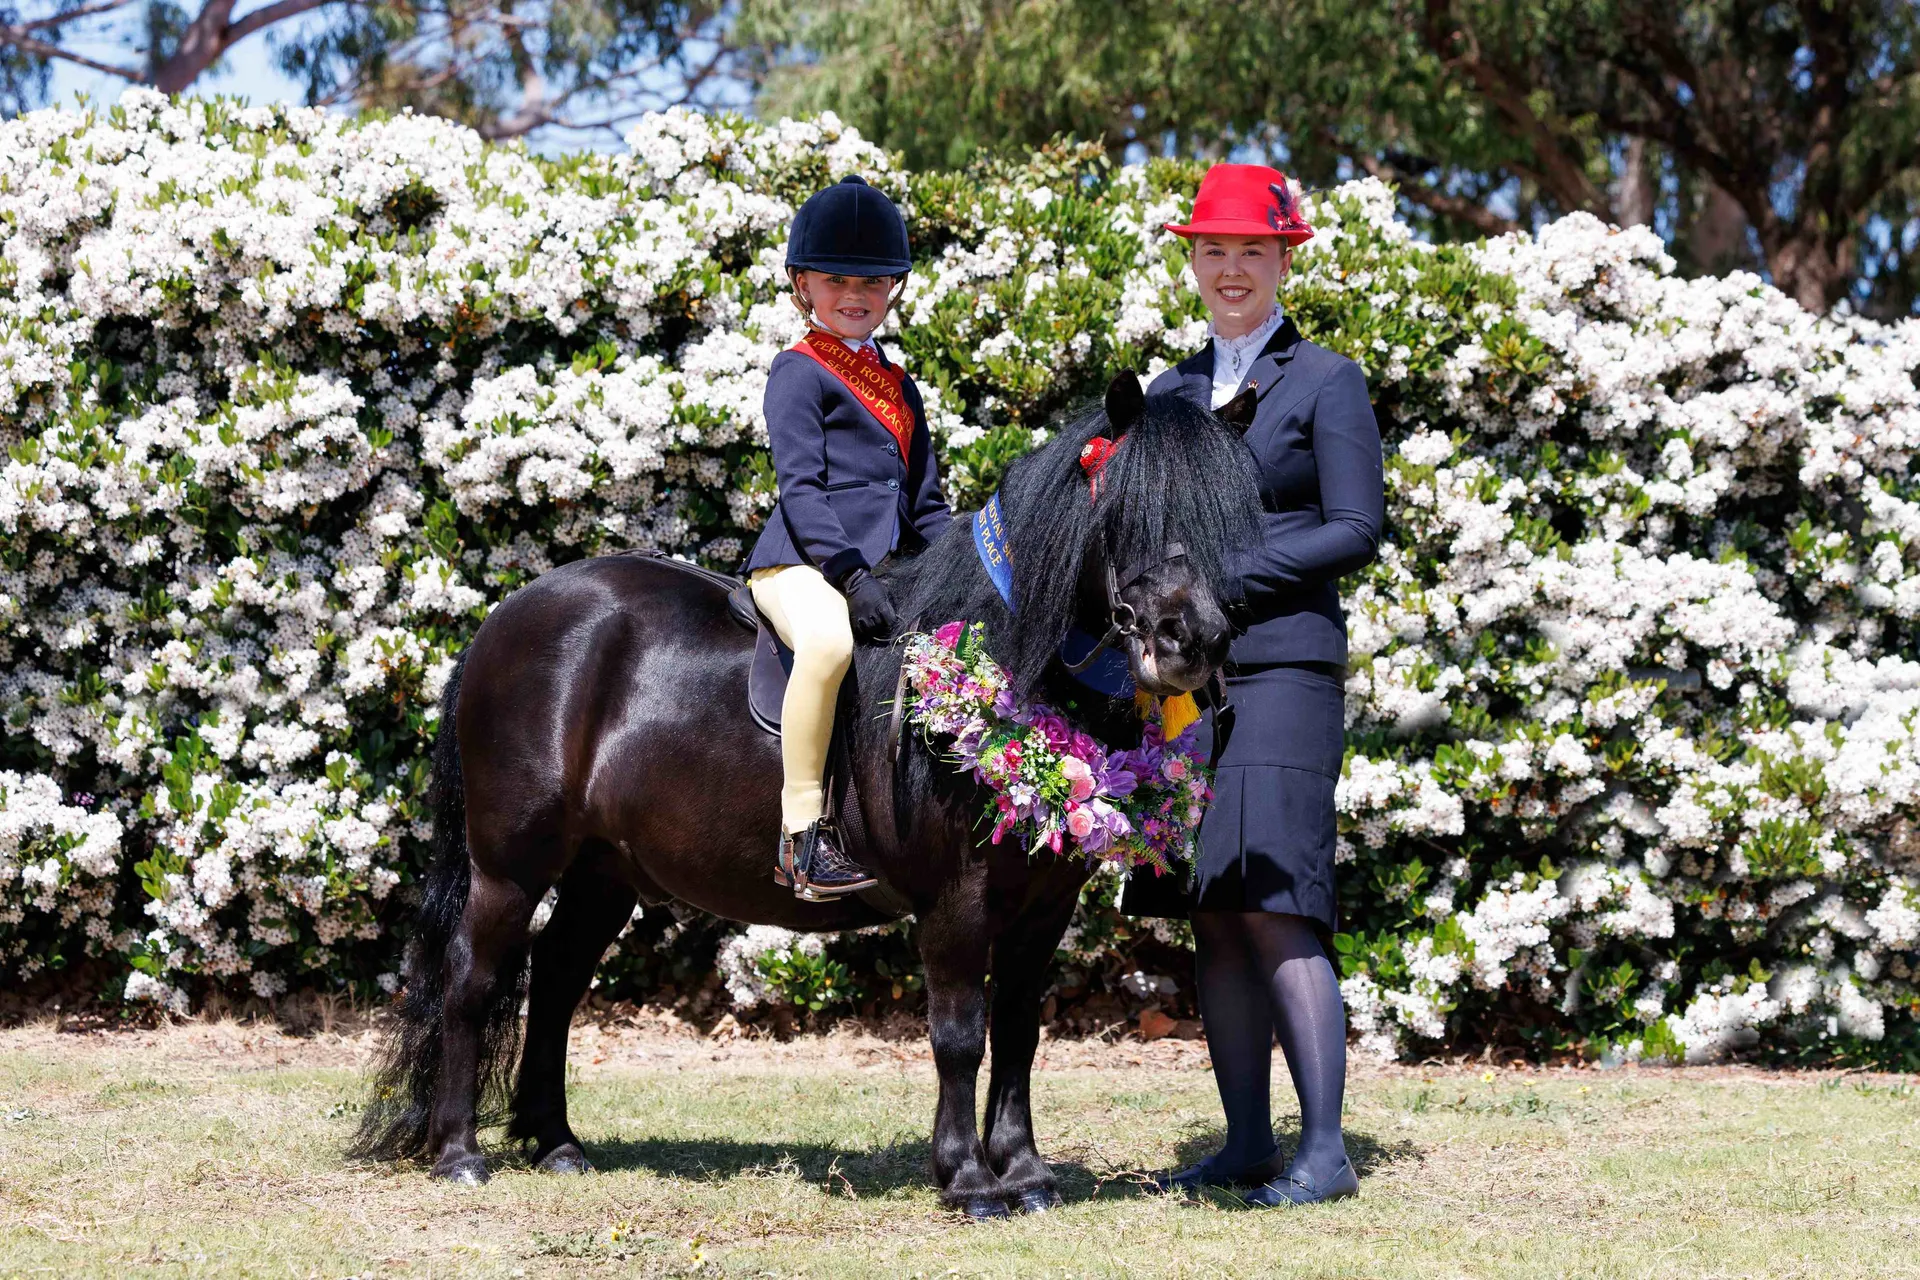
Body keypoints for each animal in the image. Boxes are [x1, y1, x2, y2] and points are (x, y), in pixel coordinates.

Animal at [350, 373, 1262, 1217]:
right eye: (1126, 509)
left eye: (1228, 515)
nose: (1193, 643)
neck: (1002, 659)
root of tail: (507, 618)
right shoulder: (956, 899)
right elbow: (959, 1034)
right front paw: (969, 1182)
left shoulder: (1045, 899)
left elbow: (1018, 1032)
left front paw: (1027, 1175)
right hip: (511, 863)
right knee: (472, 977)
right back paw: (460, 1153)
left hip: (602, 870)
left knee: (557, 979)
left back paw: (556, 1144)